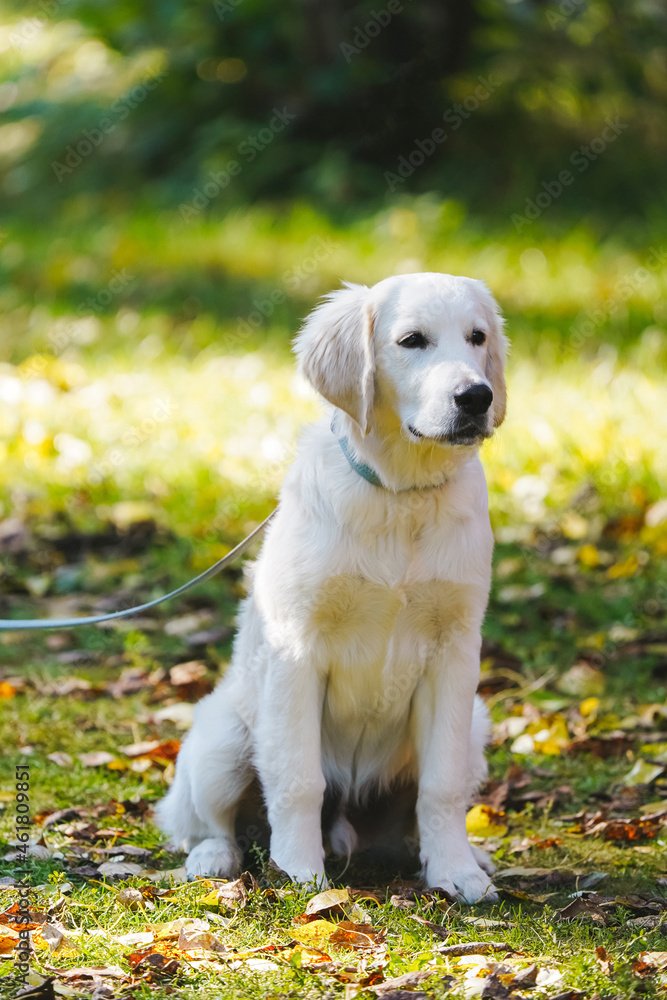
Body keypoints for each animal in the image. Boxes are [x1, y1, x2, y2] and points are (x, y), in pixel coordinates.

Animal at [159, 270, 508, 904]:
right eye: (412, 340)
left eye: (477, 337)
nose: (477, 397)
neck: (401, 496)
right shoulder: (297, 647)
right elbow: (298, 778)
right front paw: (301, 873)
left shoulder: (454, 649)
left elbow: (442, 786)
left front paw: (457, 873)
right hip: (221, 737)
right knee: (205, 822)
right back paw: (215, 858)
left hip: (475, 722)